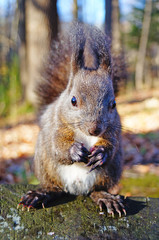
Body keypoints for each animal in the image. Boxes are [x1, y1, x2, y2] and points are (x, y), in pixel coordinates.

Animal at [18, 22, 126, 217]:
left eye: (113, 104)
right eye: (73, 100)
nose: (95, 129)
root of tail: (76, 189)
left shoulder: (113, 130)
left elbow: (111, 146)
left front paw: (101, 153)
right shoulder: (56, 124)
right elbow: (57, 146)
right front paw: (74, 151)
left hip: (110, 172)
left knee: (97, 189)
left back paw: (106, 198)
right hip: (46, 166)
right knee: (55, 187)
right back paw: (40, 194)